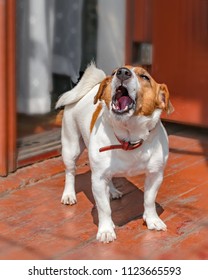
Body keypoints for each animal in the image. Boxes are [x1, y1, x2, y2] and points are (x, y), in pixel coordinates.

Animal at [55, 63, 174, 243]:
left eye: (145, 77)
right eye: (114, 72)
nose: (122, 72)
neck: (130, 138)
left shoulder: (155, 175)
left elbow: (149, 200)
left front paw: (152, 220)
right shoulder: (98, 180)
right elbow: (104, 208)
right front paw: (105, 230)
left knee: (109, 178)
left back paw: (112, 191)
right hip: (71, 148)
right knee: (70, 172)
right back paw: (69, 194)